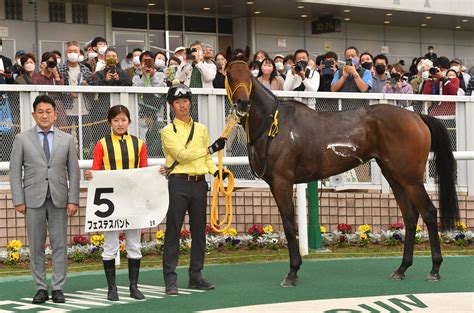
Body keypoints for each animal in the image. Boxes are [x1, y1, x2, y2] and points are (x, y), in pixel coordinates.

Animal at [225, 48, 460, 286]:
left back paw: (434, 268)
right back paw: (402, 268)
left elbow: (290, 226)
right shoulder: (277, 184)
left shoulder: (282, 182)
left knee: (429, 212)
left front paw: (292, 272)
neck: (274, 125)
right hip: (394, 176)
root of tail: (417, 116)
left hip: (410, 178)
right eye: (230, 75)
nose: (243, 103)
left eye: (248, 75)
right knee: (410, 217)